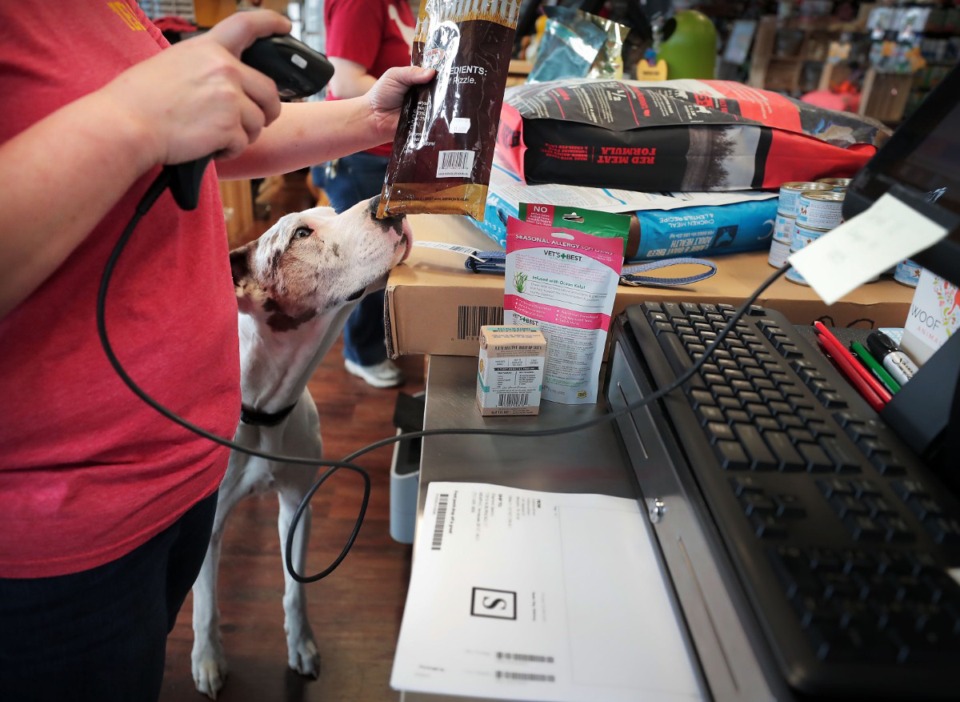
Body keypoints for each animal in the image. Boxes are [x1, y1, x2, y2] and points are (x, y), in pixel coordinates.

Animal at [189, 192, 410, 700]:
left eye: (331, 214)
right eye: (301, 233)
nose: (387, 205)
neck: (262, 408)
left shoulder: (297, 505)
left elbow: (295, 588)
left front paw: (302, 644)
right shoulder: (206, 528)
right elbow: (206, 601)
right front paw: (208, 659)